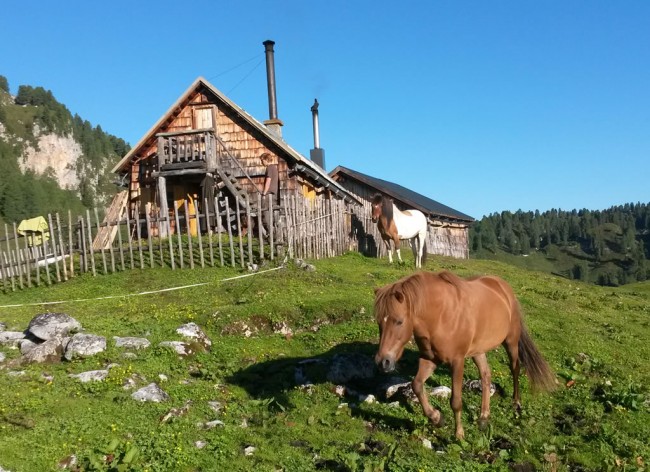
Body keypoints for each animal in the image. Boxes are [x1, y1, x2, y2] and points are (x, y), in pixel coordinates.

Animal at [374, 270, 556, 440]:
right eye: (379, 322)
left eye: (399, 321)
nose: (383, 362)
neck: (440, 316)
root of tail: (503, 287)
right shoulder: (429, 358)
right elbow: (417, 385)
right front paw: (437, 418)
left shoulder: (457, 361)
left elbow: (456, 402)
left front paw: (459, 434)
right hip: (478, 350)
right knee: (486, 375)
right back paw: (483, 417)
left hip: (511, 341)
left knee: (515, 369)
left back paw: (516, 402)